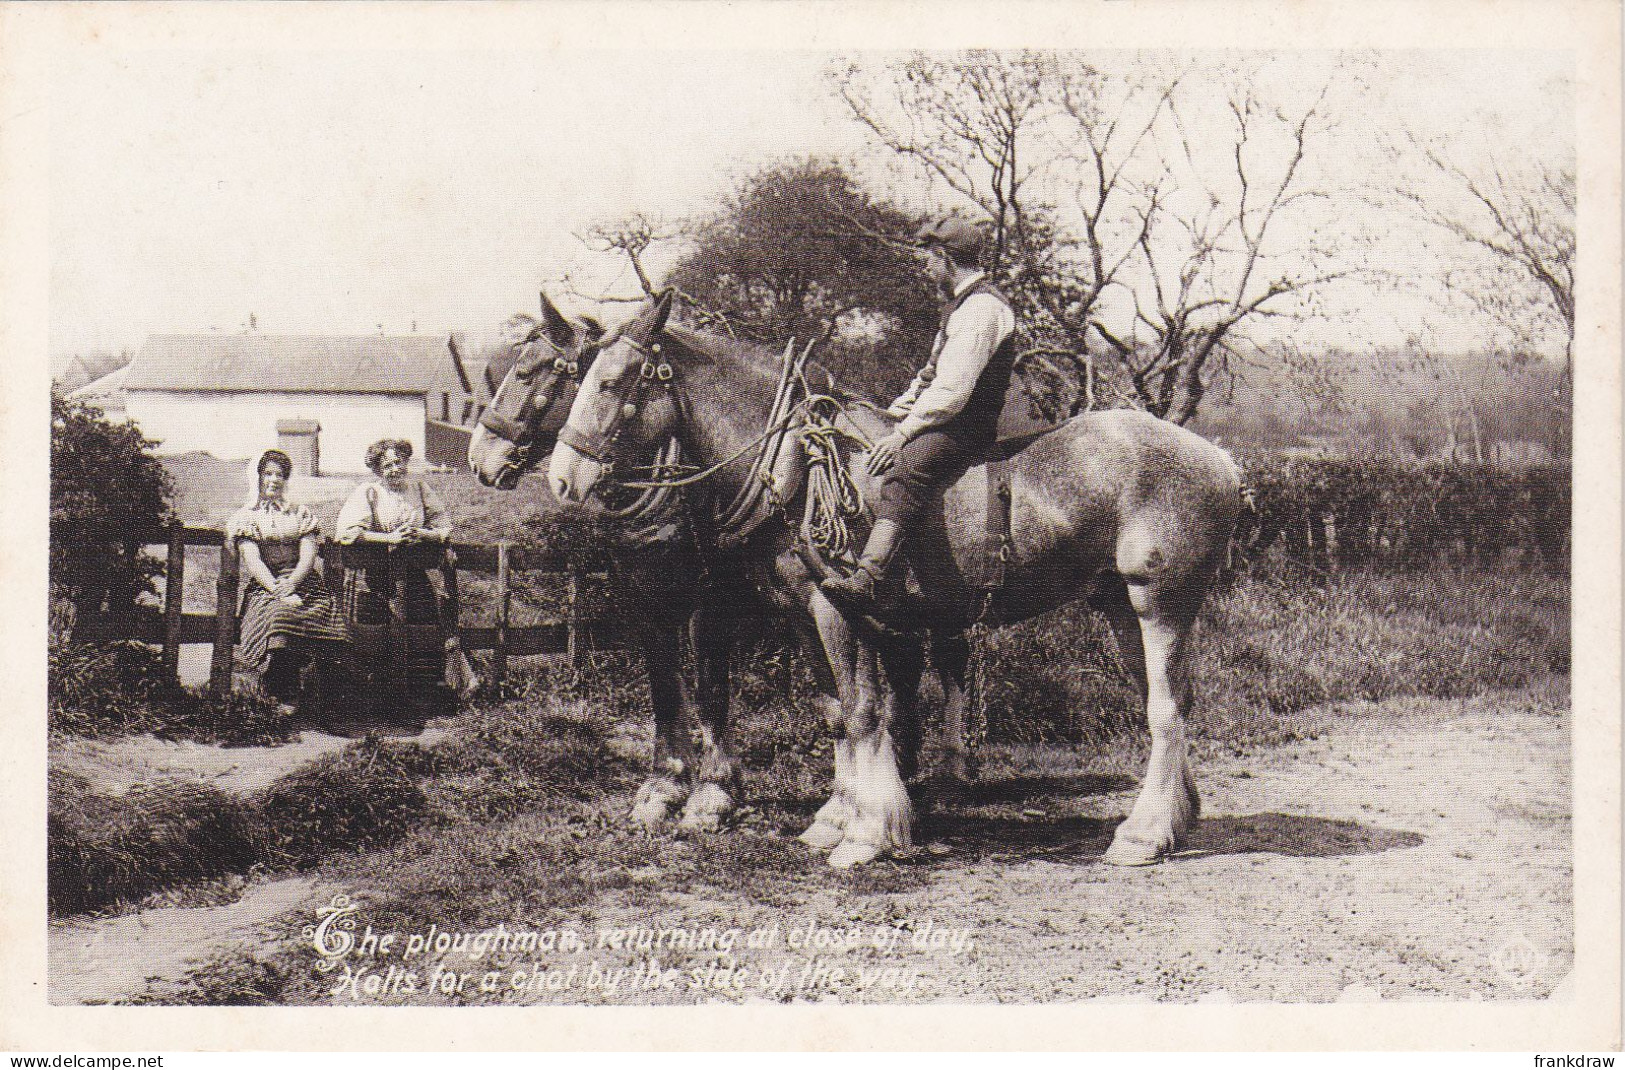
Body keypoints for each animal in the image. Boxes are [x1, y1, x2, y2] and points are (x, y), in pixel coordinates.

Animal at [549, 291, 1241, 865]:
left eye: (610, 382)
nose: (561, 479)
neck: (798, 466)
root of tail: (1221, 460)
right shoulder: (806, 612)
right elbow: (840, 712)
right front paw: (841, 818)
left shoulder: (835, 608)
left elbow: (861, 713)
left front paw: (867, 831)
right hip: (1121, 606)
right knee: (1168, 704)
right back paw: (1174, 818)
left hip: (1161, 602)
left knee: (1166, 711)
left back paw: (1143, 834)